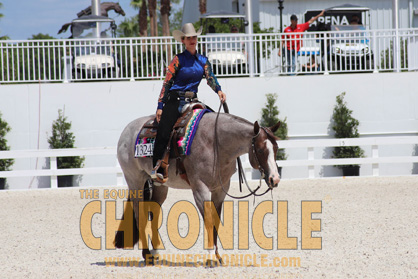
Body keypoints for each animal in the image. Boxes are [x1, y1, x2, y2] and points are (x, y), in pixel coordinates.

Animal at [114, 111, 280, 264]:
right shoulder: (200, 189)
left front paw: (217, 256)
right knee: (139, 215)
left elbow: (216, 221)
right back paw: (147, 254)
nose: (275, 178)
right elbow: (208, 221)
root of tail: (127, 130)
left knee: (154, 213)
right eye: (260, 150)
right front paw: (211, 258)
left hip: (160, 185)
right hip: (135, 181)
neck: (215, 144)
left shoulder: (220, 190)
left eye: (276, 148)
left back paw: (155, 254)